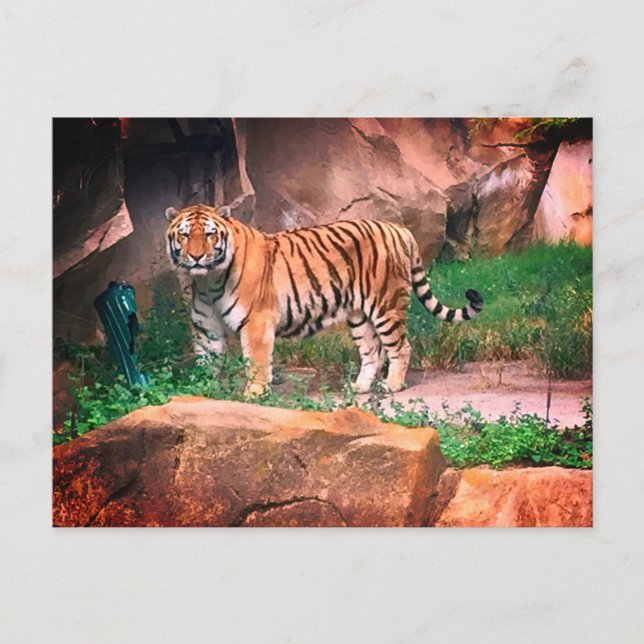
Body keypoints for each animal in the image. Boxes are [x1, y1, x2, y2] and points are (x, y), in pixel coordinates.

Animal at [165, 204, 484, 397]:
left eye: (209, 235)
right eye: (184, 236)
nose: (196, 257)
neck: (209, 280)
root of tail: (400, 229)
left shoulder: (257, 322)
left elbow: (256, 361)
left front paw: (255, 393)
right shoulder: (206, 329)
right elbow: (207, 362)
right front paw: (203, 392)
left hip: (386, 305)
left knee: (400, 347)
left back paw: (392, 385)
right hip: (358, 314)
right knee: (372, 350)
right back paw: (360, 387)